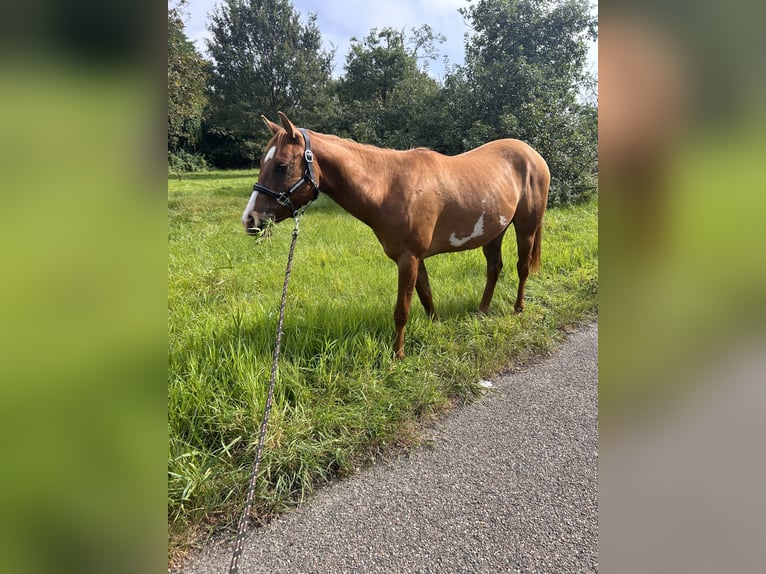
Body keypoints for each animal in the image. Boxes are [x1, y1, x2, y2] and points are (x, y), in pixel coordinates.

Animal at [243, 112, 548, 360]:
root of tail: (533, 154)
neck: (388, 187)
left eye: (281, 165)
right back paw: (482, 310)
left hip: (526, 226)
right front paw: (435, 326)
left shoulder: (408, 258)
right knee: (494, 268)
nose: (250, 219)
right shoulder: (416, 258)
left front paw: (398, 354)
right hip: (495, 231)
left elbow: (402, 309)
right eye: (262, 162)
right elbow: (425, 295)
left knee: (522, 267)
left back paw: (518, 308)